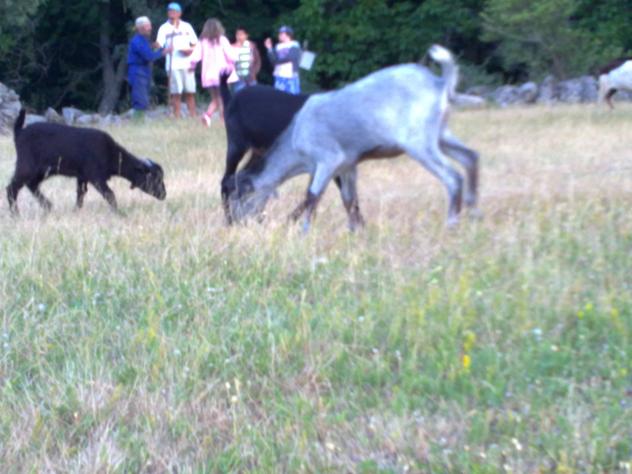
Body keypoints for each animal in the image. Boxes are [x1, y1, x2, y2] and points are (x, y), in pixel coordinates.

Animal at [7, 109, 166, 215]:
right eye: (153, 178)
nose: (164, 195)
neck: (111, 153)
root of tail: (19, 132)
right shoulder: (95, 176)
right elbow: (110, 194)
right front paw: (118, 213)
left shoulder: (82, 177)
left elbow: (80, 195)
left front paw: (76, 211)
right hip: (26, 165)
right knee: (12, 188)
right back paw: (16, 214)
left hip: (42, 170)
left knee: (32, 184)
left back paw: (48, 206)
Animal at [226, 45, 479, 232]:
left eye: (239, 196)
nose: (236, 223)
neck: (296, 136)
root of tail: (440, 83)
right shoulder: (347, 165)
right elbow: (349, 198)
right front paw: (354, 231)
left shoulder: (328, 159)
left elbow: (312, 195)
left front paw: (303, 230)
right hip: (440, 135)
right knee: (471, 157)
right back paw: (474, 212)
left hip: (419, 142)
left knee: (453, 177)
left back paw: (452, 224)